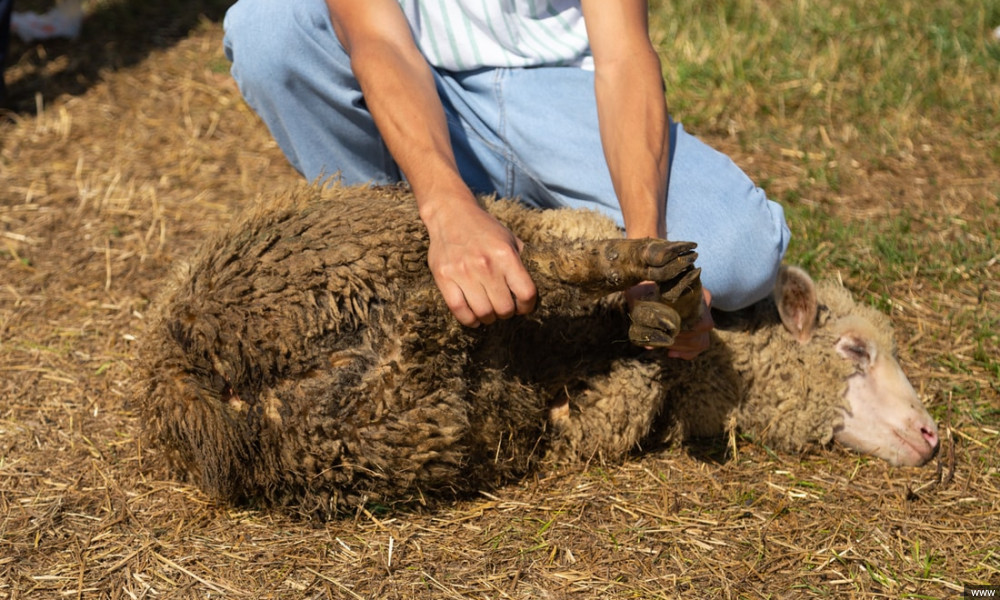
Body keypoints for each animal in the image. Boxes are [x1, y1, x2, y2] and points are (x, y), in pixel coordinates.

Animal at [137, 184, 940, 516]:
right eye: (855, 349)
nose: (933, 437)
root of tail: (177, 366)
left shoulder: (595, 409)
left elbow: (619, 381)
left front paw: (648, 326)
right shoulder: (567, 235)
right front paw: (654, 303)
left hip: (383, 405)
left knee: (433, 315)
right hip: (378, 248)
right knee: (505, 266)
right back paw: (647, 262)